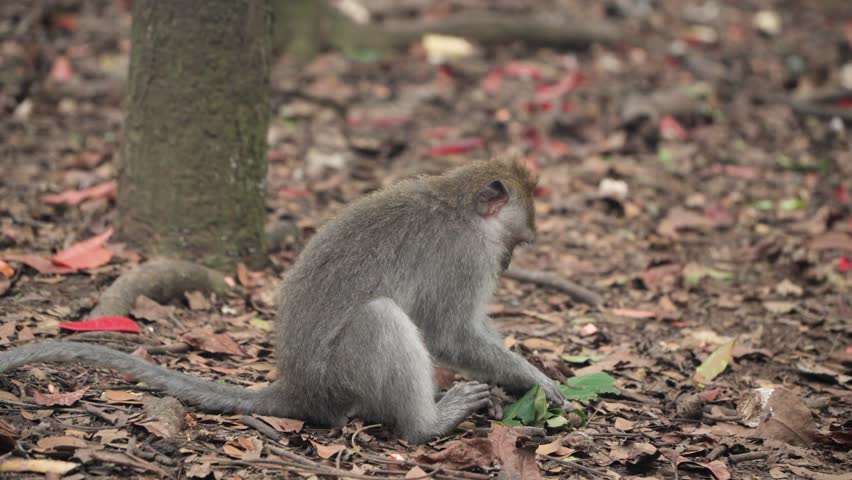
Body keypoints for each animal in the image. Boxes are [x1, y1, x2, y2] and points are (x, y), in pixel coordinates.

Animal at [0, 158, 566, 443]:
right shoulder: (465, 256)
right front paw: (539, 381)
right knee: (380, 318)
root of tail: (296, 388)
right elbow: (450, 332)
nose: (507, 265)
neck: (457, 201)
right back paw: (427, 426)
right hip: (342, 381)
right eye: (516, 244)